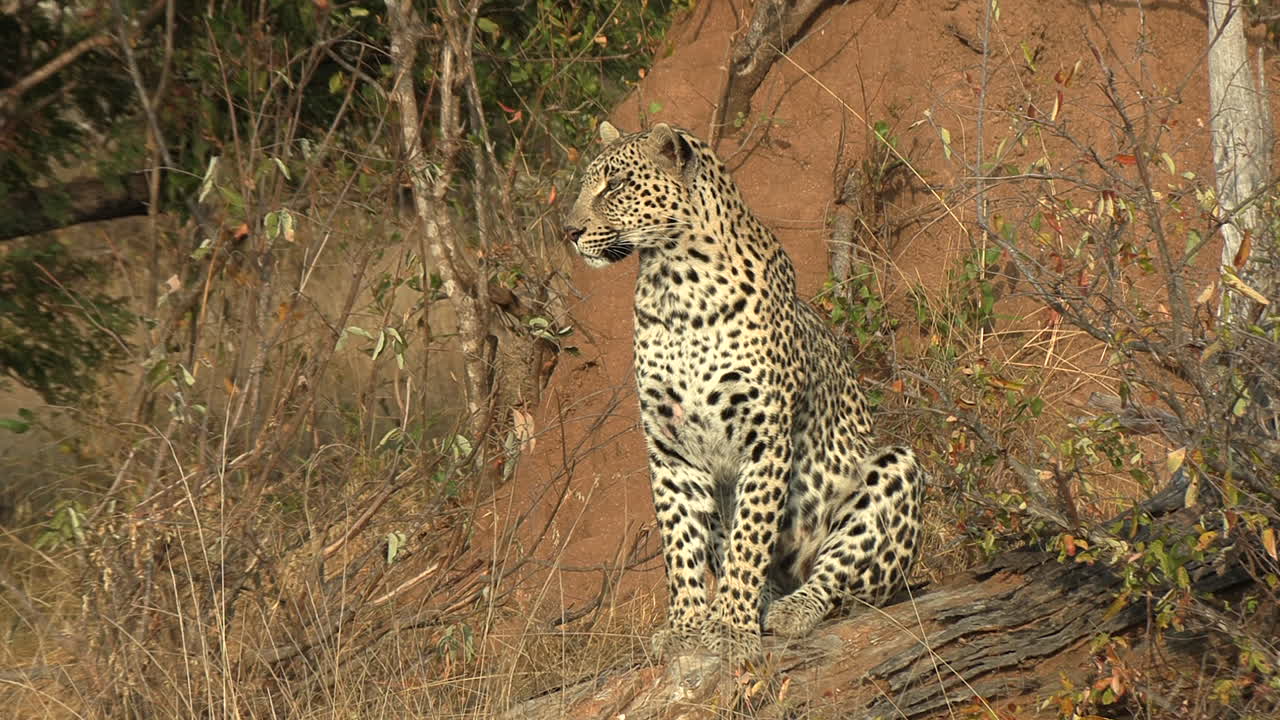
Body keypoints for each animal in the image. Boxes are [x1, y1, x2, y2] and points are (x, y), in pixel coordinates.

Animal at [563, 121, 924, 664]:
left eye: (616, 185)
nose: (569, 231)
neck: (676, 285)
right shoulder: (671, 450)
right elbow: (680, 546)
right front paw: (686, 626)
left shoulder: (765, 439)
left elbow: (750, 540)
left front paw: (730, 627)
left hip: (896, 469)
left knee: (840, 582)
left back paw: (791, 610)